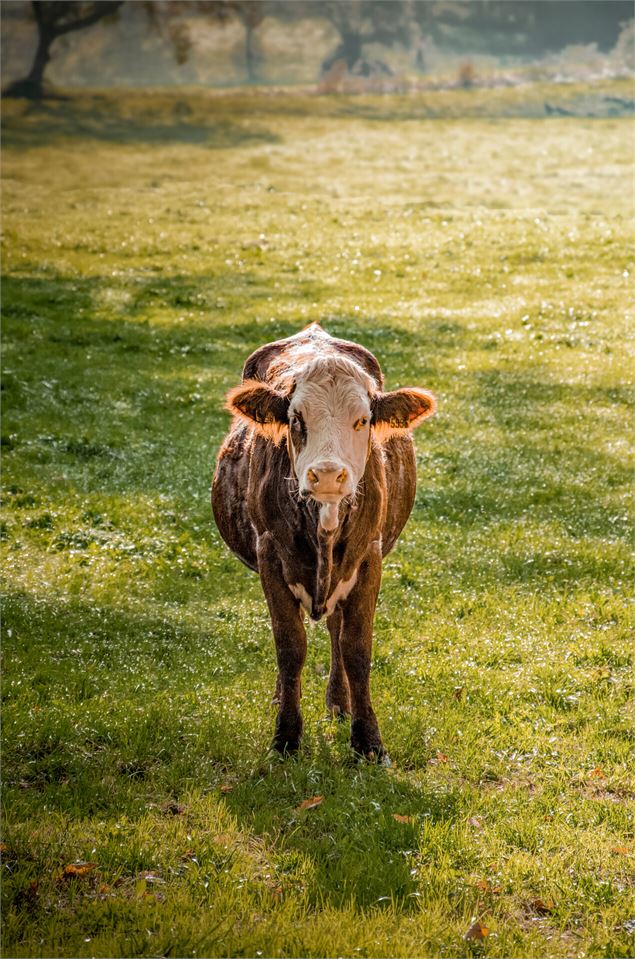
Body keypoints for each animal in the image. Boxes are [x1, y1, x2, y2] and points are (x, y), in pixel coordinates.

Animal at [214, 326, 438, 760]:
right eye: (295, 419)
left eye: (363, 419)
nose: (329, 474)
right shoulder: (270, 556)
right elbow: (290, 647)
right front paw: (285, 735)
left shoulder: (369, 558)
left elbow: (356, 650)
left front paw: (368, 740)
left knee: (336, 629)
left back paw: (339, 703)